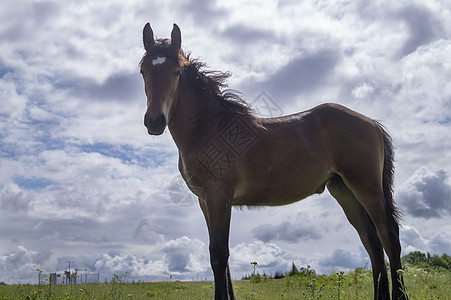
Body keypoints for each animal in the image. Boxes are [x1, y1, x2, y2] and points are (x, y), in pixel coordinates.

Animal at [139, 24, 408, 300]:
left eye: (176, 72)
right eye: (143, 71)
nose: (155, 122)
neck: (210, 128)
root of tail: (372, 123)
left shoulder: (218, 195)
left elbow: (219, 254)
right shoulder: (205, 200)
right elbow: (222, 257)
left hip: (366, 187)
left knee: (388, 235)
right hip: (344, 191)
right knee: (371, 242)